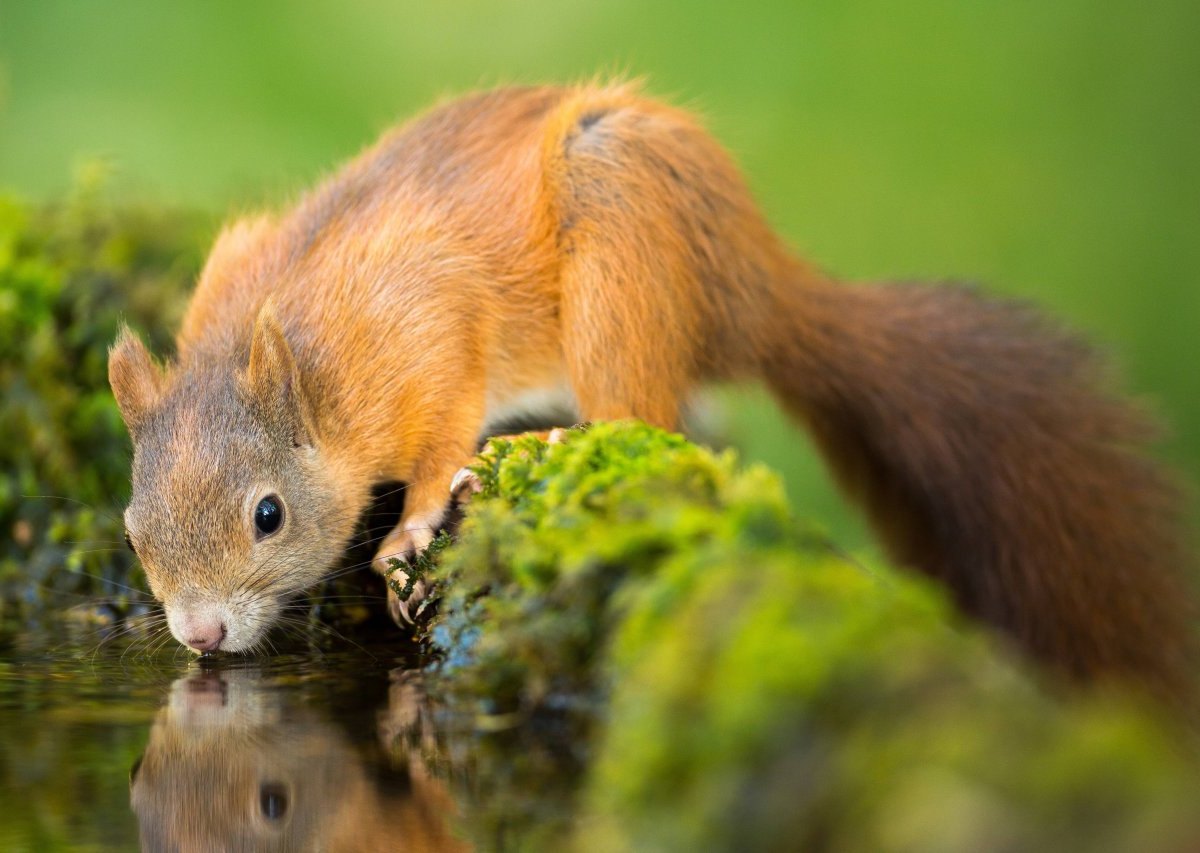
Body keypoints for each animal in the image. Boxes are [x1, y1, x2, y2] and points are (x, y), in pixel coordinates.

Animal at [110, 80, 1190, 705]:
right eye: (131, 526)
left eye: (269, 515)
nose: (199, 636)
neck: (307, 353)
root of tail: (752, 287)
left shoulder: (433, 335)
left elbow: (442, 433)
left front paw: (410, 531)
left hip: (620, 245)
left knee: (642, 410)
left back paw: (545, 443)